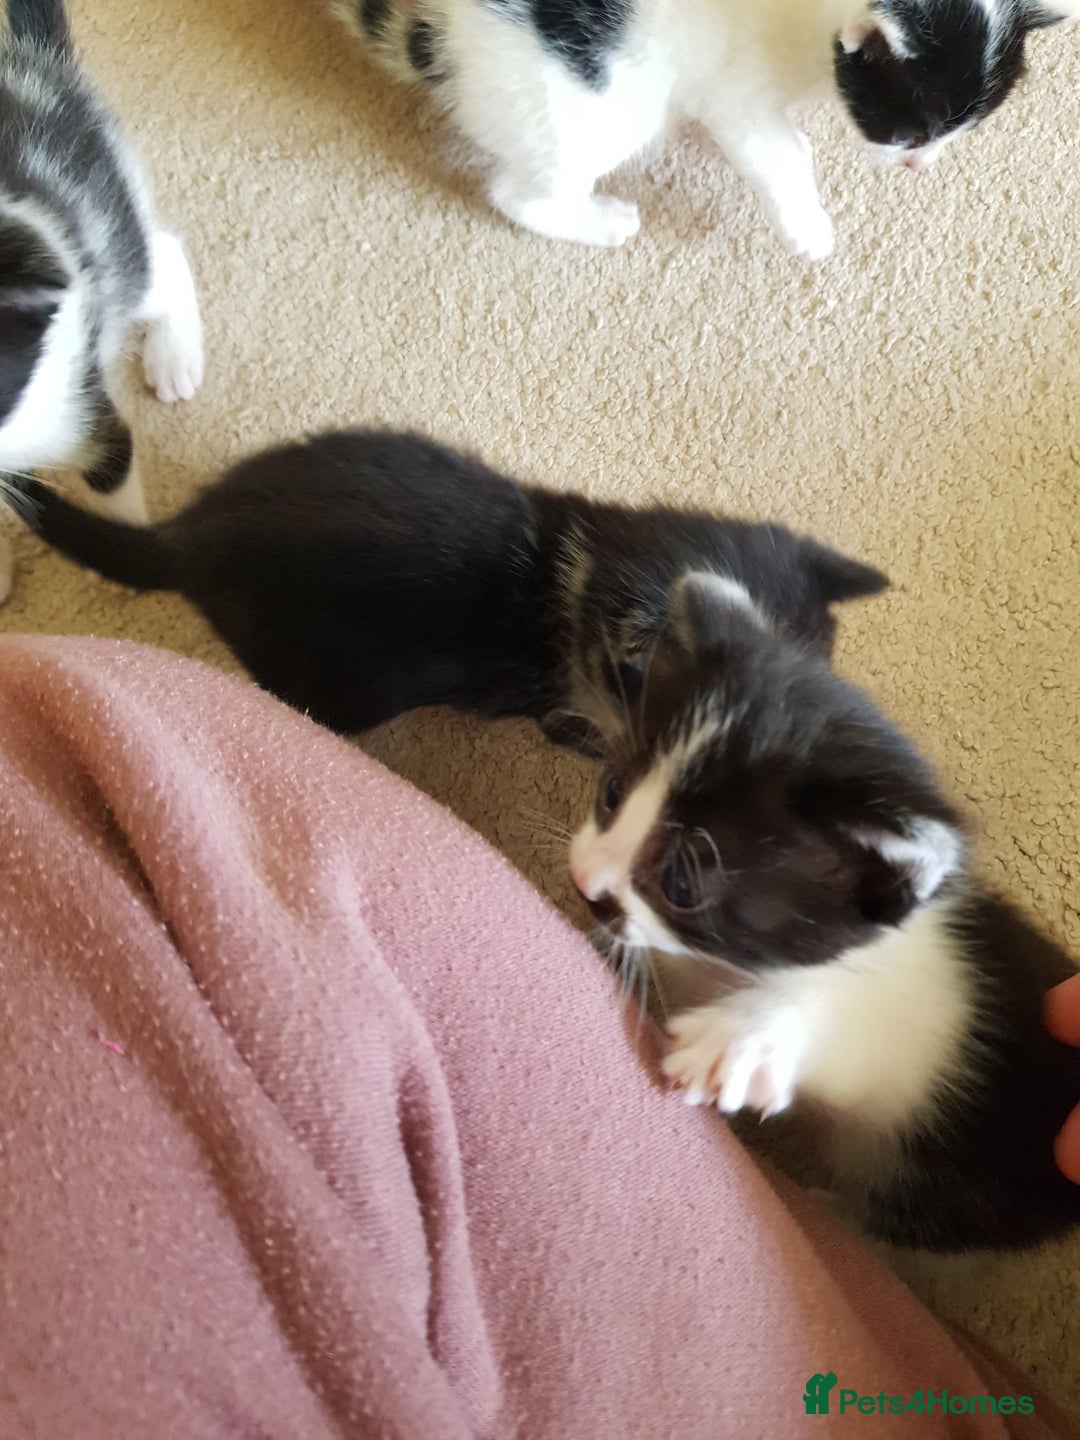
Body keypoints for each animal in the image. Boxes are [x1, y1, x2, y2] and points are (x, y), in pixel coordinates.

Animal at [0, 0, 203, 604]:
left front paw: (119, 555)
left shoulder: (73, 399)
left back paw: (174, 357)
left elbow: (111, 463)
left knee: (161, 255)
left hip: (108, 226)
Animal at [331, 0, 1077, 255]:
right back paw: (600, 222)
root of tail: (439, 33)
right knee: (519, 193)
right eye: (912, 131)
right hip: (593, 104)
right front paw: (809, 231)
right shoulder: (736, 92)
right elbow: (781, 154)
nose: (922, 165)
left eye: (958, 134)